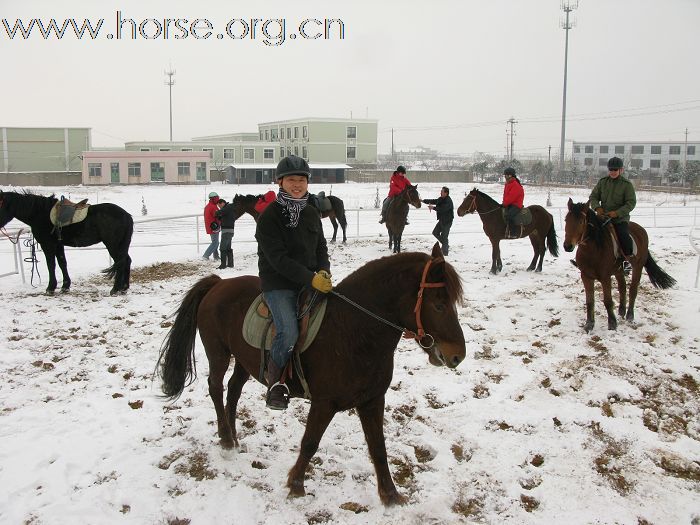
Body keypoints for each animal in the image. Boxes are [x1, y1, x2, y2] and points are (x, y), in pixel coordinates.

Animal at [0, 189, 133, 294]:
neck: (40, 213)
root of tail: (126, 215)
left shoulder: (48, 245)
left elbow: (51, 265)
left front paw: (50, 288)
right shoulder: (59, 245)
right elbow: (62, 263)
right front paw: (65, 286)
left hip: (113, 245)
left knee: (121, 262)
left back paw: (115, 289)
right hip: (121, 245)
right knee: (127, 260)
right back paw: (124, 288)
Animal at [158, 244, 464, 506]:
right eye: (439, 305)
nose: (458, 355)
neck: (353, 330)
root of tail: (218, 283)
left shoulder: (372, 400)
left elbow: (378, 447)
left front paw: (390, 495)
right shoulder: (324, 403)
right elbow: (310, 443)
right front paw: (296, 485)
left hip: (244, 360)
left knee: (233, 391)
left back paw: (233, 437)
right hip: (218, 353)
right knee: (216, 388)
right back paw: (224, 437)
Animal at [560, 200, 676, 332]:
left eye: (581, 222)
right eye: (566, 220)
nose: (567, 246)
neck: (593, 250)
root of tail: (641, 230)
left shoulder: (605, 278)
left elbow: (608, 300)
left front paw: (612, 323)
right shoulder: (586, 277)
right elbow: (589, 301)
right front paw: (589, 324)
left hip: (637, 267)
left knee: (632, 290)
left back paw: (630, 315)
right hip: (618, 270)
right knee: (623, 287)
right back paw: (621, 310)